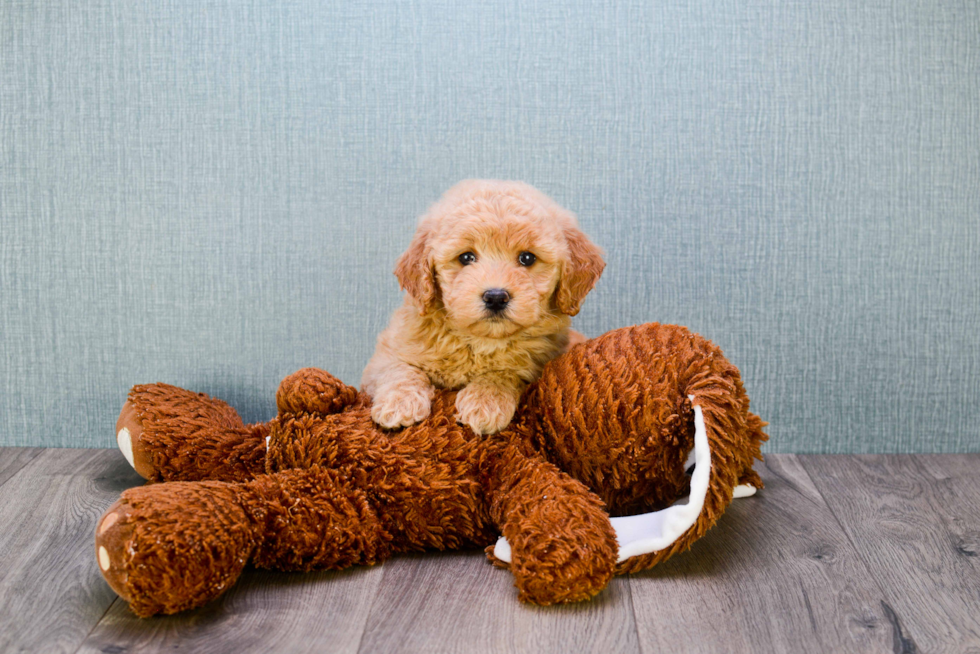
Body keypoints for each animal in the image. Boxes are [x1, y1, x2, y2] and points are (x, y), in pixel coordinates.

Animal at [362, 179, 604, 436]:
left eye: (527, 258)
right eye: (466, 257)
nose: (496, 297)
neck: (479, 343)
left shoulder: (535, 365)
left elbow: (504, 372)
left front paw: (485, 403)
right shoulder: (383, 358)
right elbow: (399, 369)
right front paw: (398, 404)